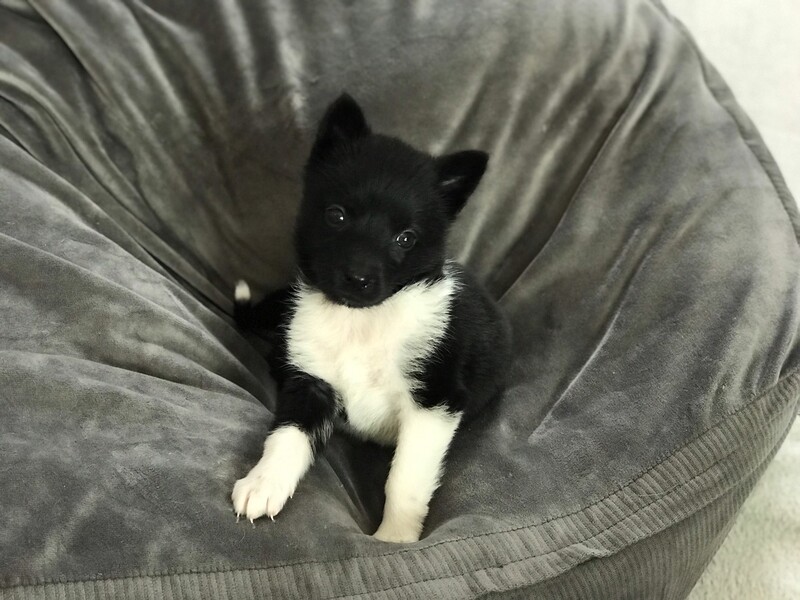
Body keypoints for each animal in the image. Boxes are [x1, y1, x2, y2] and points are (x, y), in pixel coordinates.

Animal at [231, 93, 511, 543]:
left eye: (406, 238)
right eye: (337, 216)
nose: (358, 279)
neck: (360, 322)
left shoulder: (434, 404)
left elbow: (404, 479)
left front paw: (394, 539)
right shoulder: (310, 381)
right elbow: (286, 434)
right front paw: (263, 483)